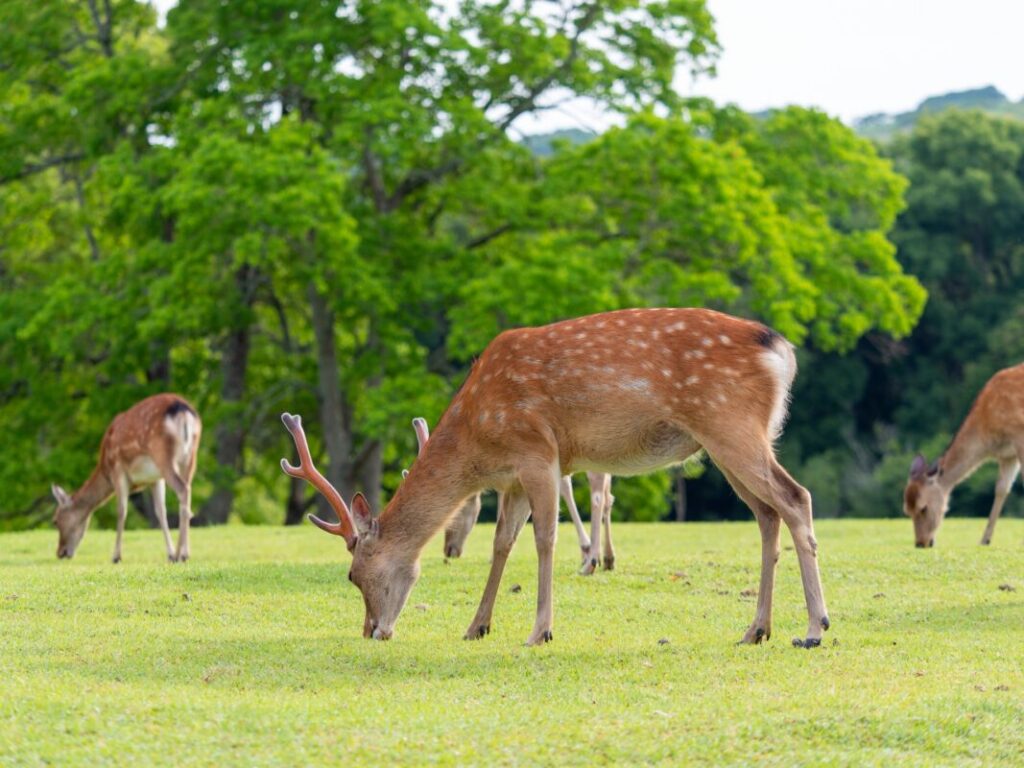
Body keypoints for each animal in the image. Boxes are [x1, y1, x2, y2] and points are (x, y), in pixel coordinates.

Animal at [51, 393, 201, 561]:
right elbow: (161, 512)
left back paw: (180, 554)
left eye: (55, 521)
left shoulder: (118, 470)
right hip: (190, 456)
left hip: (162, 455)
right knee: (187, 490)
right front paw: (169, 553)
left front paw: (116, 556)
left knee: (182, 489)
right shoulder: (155, 478)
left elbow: (121, 511)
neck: (105, 469)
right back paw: (183, 553)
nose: (60, 552)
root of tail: (183, 411)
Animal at [407, 417, 614, 573]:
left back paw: (591, 560)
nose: (449, 550)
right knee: (606, 491)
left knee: (597, 484)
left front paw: (586, 550)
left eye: (456, 510)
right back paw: (607, 558)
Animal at [905, 364, 1024, 548]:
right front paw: (984, 540)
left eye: (923, 507)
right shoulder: (1007, 455)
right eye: (906, 510)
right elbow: (1001, 489)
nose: (921, 543)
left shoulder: (1019, 435)